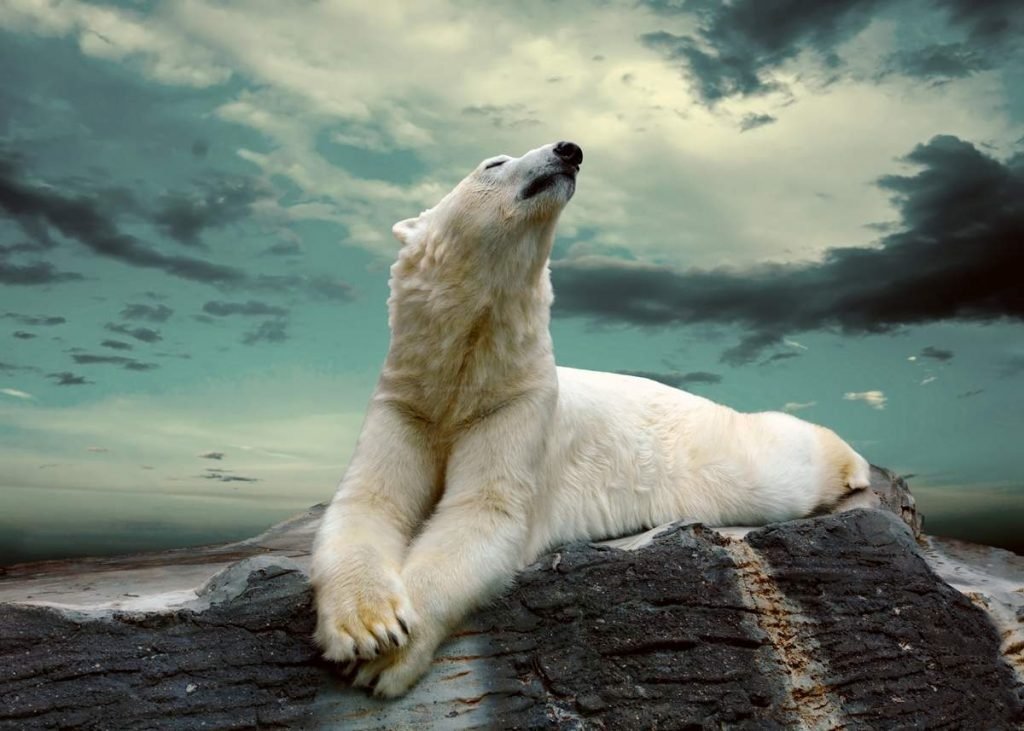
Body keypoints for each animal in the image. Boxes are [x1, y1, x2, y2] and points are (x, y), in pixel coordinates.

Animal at [310, 141, 871, 697]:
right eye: (493, 163)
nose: (569, 150)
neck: (466, 372)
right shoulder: (408, 401)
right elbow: (369, 501)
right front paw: (369, 626)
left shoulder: (519, 404)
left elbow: (482, 513)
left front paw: (388, 656)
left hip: (712, 452)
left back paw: (853, 465)